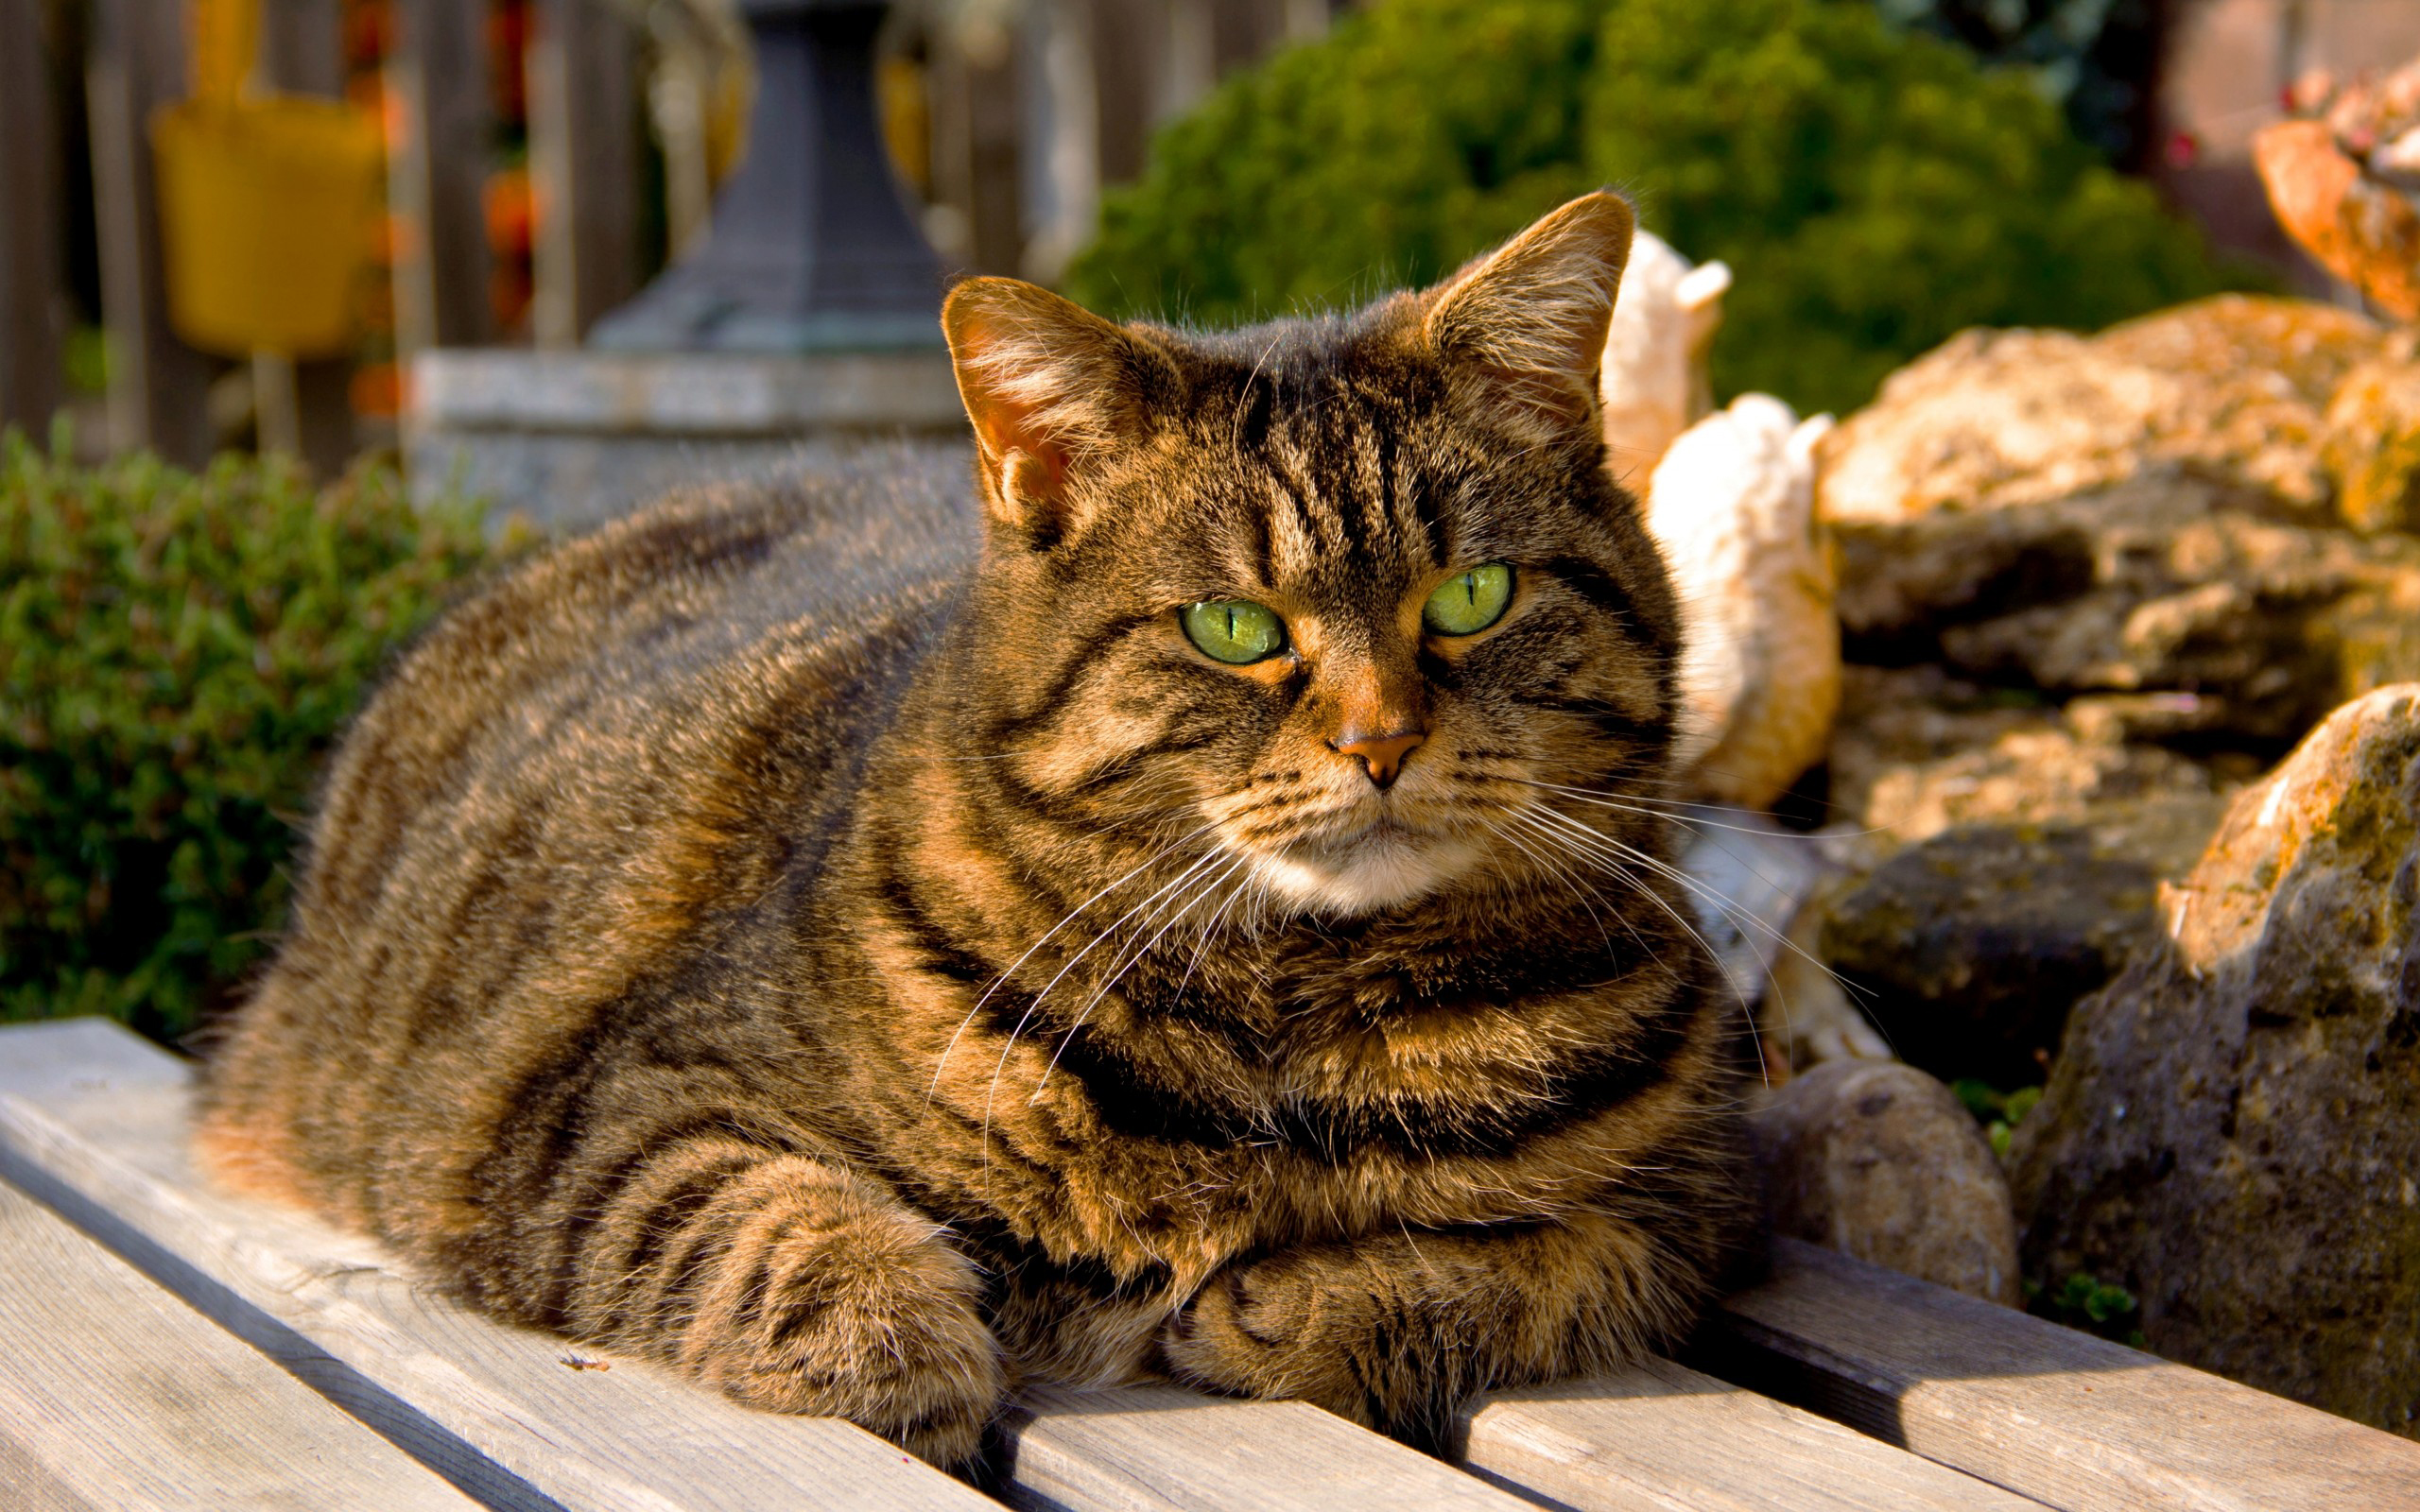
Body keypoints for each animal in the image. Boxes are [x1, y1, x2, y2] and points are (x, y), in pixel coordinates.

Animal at [198, 191, 1752, 1461]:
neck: (1297, 1020)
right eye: (1232, 627)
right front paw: (913, 1347)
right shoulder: (601, 1107)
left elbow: (1534, 1265)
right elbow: (777, 1222)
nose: (1381, 742)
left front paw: (1287, 1308)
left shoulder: (1689, 1221)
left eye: (1472, 597)